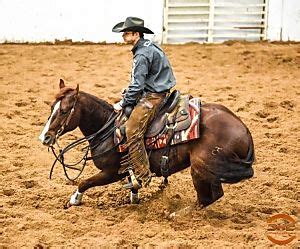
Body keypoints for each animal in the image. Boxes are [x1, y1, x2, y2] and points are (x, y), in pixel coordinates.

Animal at [38, 80, 254, 206]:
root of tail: (244, 129)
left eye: (64, 111)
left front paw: (74, 199)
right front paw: (134, 195)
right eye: (51, 107)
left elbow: (85, 181)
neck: (108, 128)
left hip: (200, 168)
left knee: (207, 199)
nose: (45, 137)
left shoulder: (111, 172)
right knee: (214, 196)